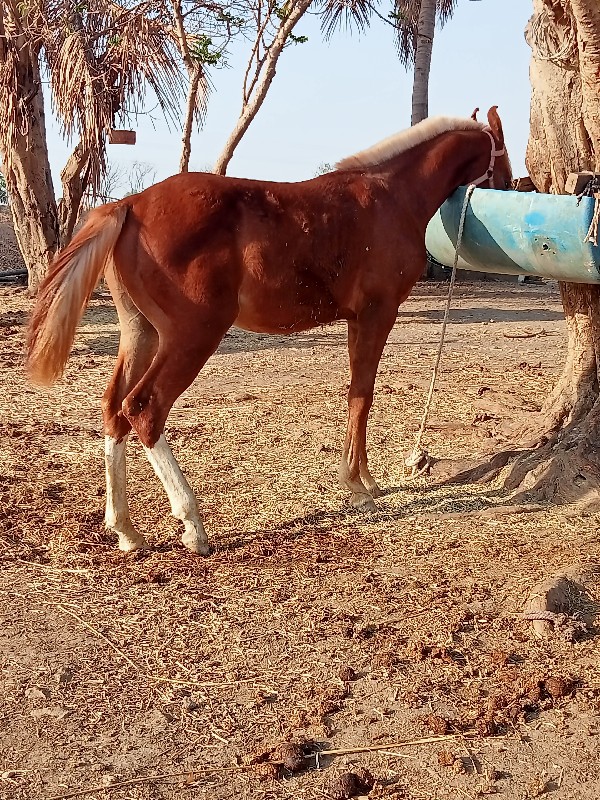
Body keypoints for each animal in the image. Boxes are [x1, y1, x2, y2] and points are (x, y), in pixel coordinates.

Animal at [25, 108, 508, 556]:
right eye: (501, 150)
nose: (515, 183)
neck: (388, 197)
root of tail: (130, 204)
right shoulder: (377, 315)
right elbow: (363, 395)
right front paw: (359, 487)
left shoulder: (357, 320)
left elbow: (356, 395)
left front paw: (364, 479)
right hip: (191, 336)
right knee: (143, 409)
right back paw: (192, 525)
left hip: (141, 333)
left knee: (113, 410)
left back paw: (125, 529)